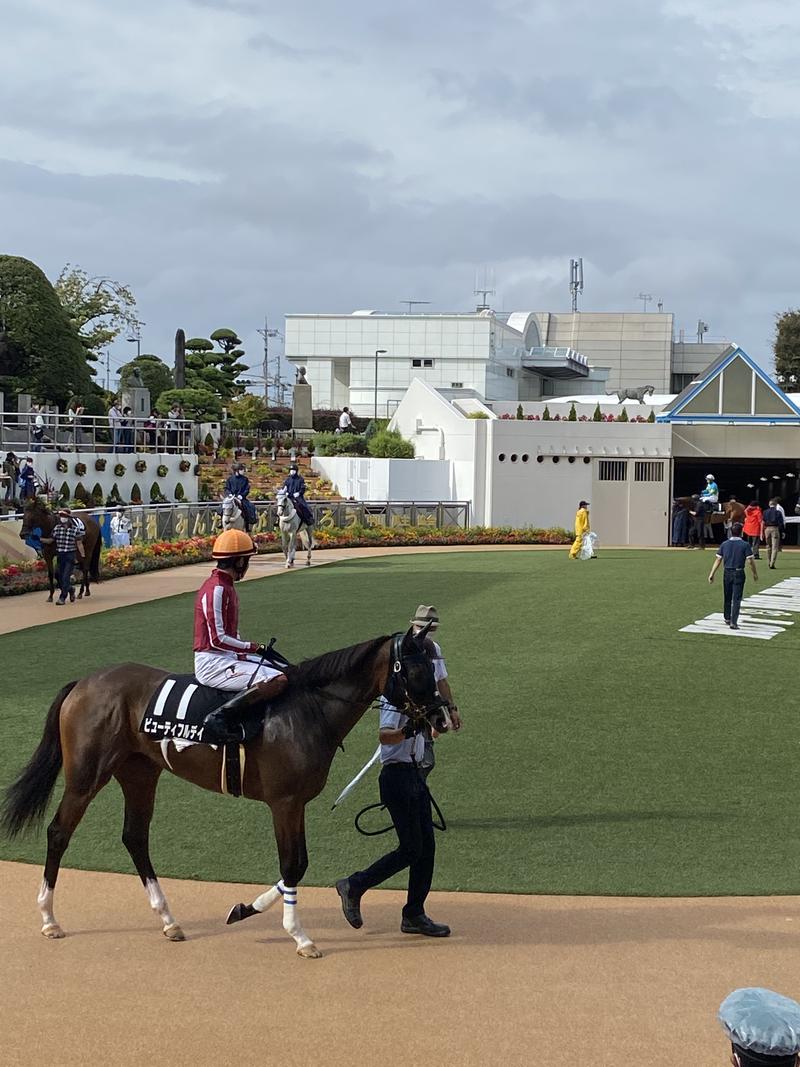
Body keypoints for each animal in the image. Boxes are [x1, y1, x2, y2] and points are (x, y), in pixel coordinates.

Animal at [0, 627, 445, 956]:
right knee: (59, 832)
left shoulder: (295, 803)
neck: (308, 709)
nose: (442, 718)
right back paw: (49, 919)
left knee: (135, 837)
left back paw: (169, 920)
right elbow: (294, 864)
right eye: (419, 671)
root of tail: (84, 682)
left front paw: (245, 909)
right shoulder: (285, 803)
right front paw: (299, 936)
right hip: (86, 776)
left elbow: (295, 866)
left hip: (140, 773)